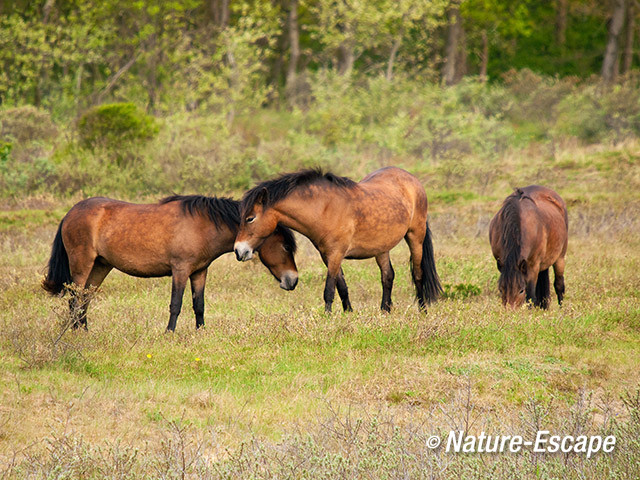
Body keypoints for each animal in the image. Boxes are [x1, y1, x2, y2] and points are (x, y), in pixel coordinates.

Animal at [42, 195, 298, 330]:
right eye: (286, 246)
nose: (293, 280)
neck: (203, 225)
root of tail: (70, 213)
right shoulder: (180, 270)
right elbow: (176, 304)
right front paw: (169, 333)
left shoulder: (199, 272)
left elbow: (199, 305)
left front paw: (200, 332)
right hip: (82, 264)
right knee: (75, 299)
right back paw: (75, 331)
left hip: (100, 266)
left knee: (84, 299)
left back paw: (84, 330)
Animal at [234, 167, 440, 314]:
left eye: (250, 218)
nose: (238, 250)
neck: (325, 208)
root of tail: (413, 180)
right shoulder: (328, 256)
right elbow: (341, 287)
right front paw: (348, 313)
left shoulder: (336, 254)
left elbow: (329, 289)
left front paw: (327, 316)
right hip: (382, 248)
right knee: (387, 276)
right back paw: (385, 311)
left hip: (415, 237)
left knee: (418, 273)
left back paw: (422, 310)